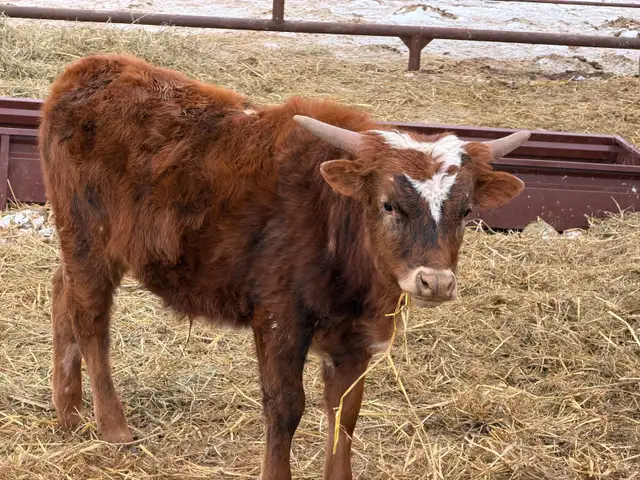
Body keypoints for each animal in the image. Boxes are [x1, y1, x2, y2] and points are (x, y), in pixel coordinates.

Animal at [38, 53, 528, 480]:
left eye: (466, 210)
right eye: (388, 204)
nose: (435, 282)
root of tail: (92, 68)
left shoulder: (357, 338)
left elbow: (344, 415)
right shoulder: (279, 319)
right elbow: (285, 407)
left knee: (61, 289)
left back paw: (69, 412)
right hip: (88, 238)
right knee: (90, 318)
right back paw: (113, 426)